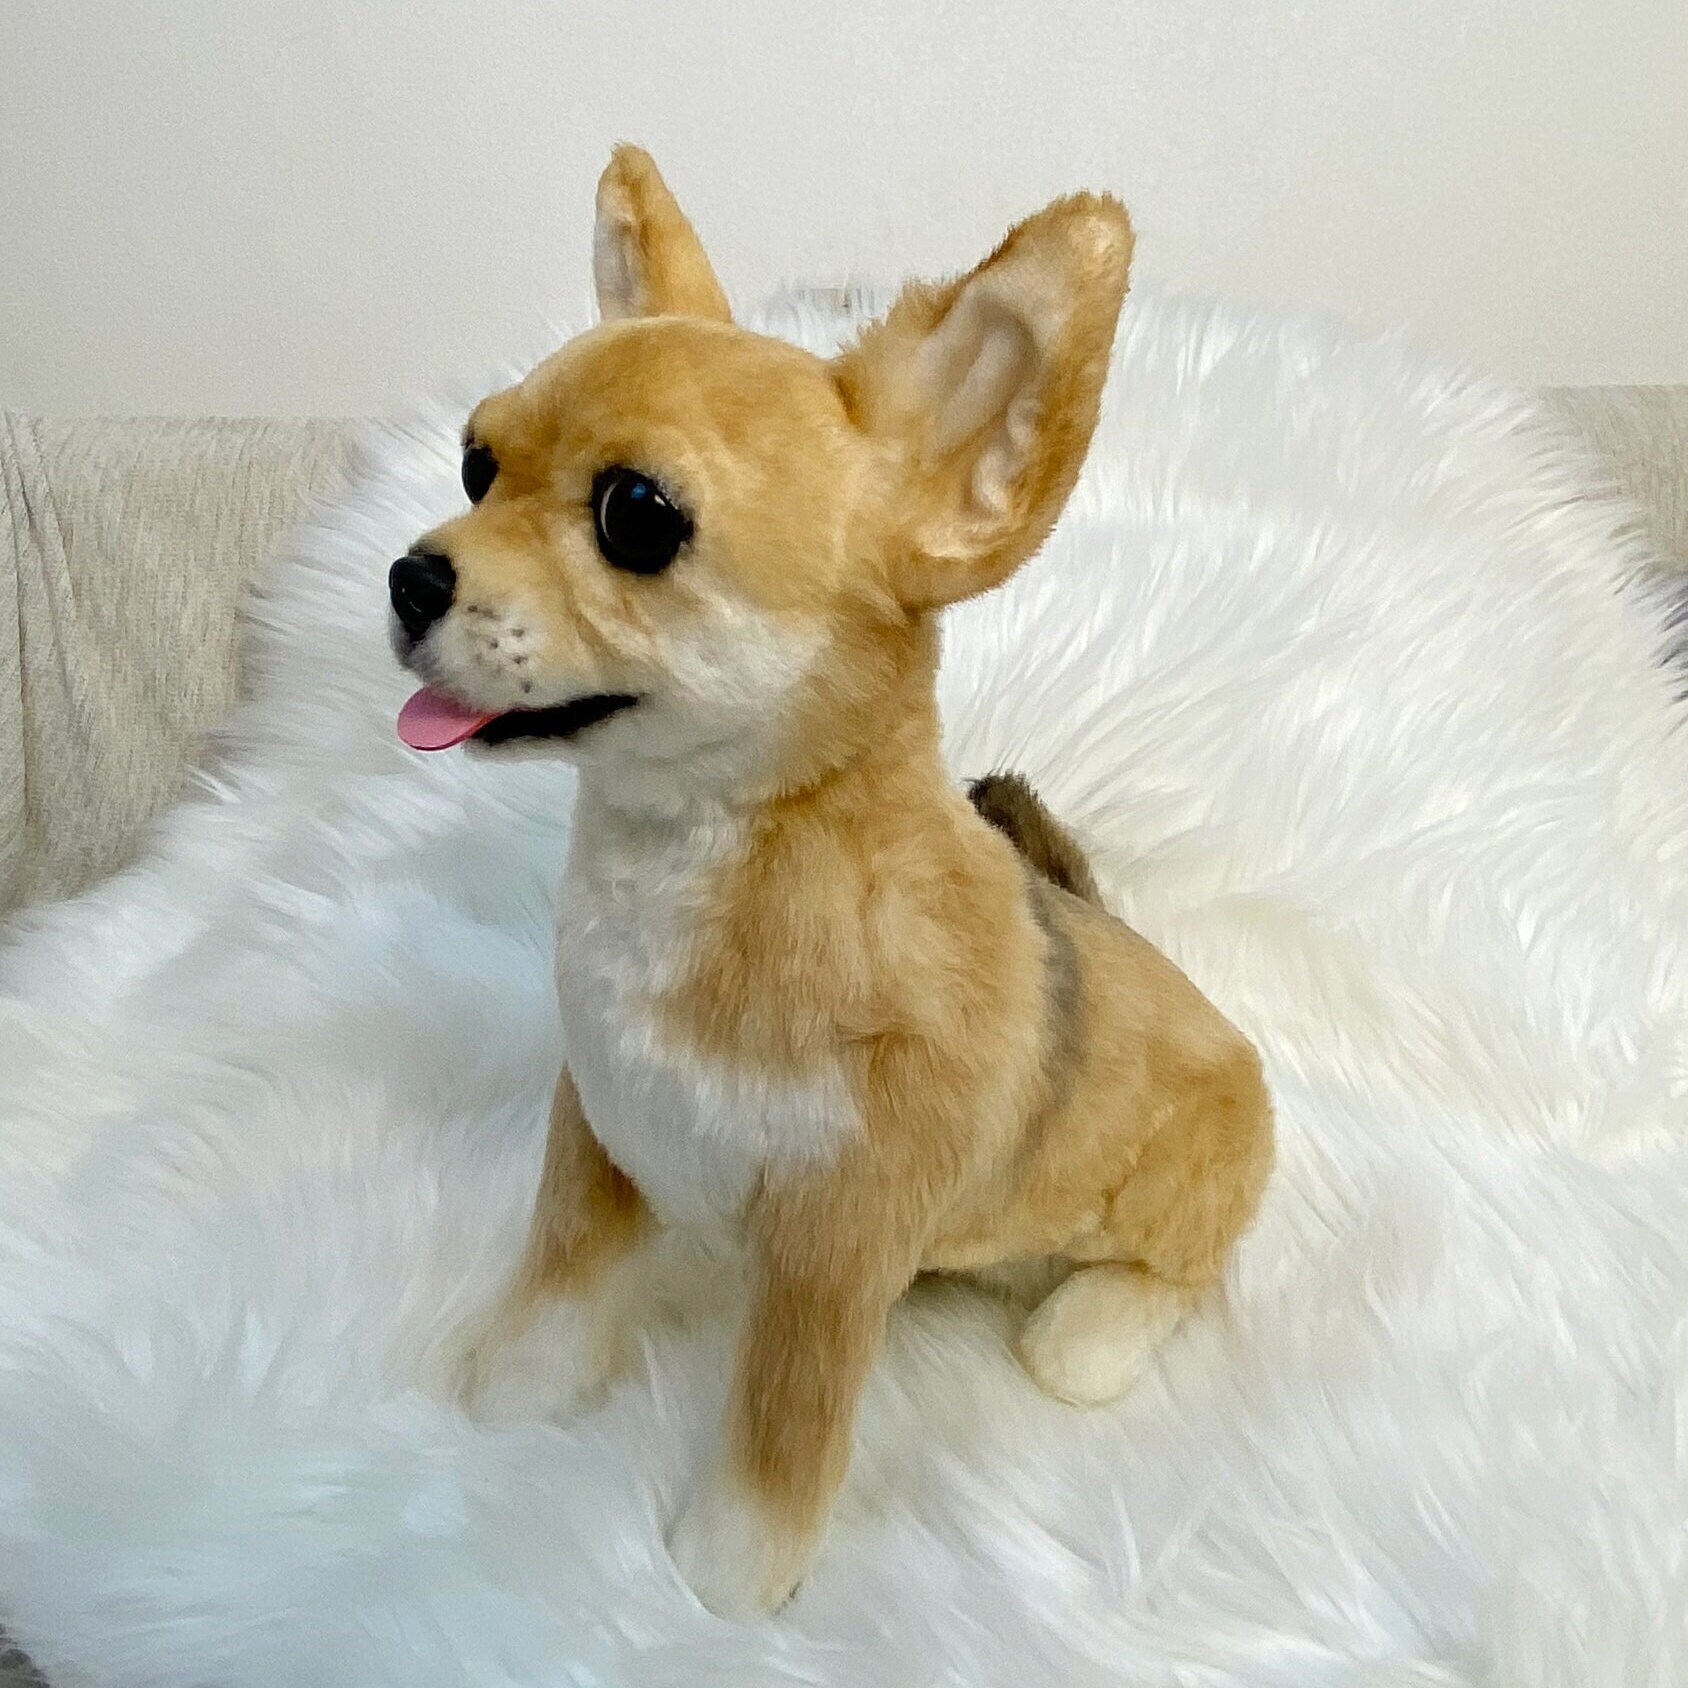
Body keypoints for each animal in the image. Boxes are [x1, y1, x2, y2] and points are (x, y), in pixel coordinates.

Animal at [390, 146, 1273, 1619]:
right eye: (475, 463)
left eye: (635, 517)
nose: (408, 576)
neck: (696, 867)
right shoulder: (597, 1117)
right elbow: (562, 1274)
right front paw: (514, 1393)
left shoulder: (830, 1252)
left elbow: (783, 1428)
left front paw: (723, 1579)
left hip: (1193, 1177)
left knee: (1177, 1271)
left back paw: (1085, 1332)